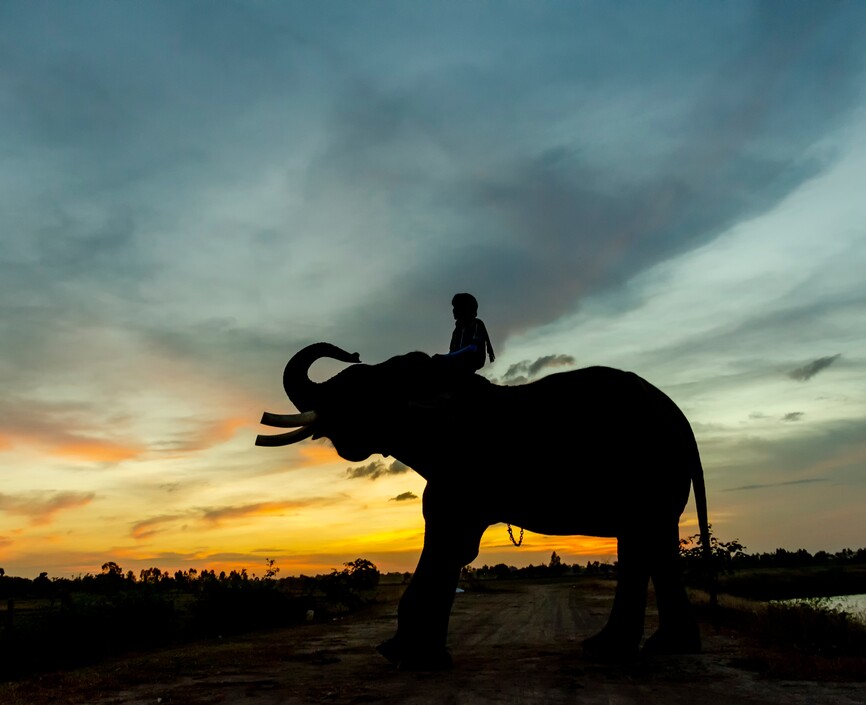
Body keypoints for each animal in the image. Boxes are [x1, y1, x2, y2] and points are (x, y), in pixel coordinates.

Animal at [256, 343, 712, 668]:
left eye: (365, 389)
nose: (350, 351)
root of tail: (679, 415)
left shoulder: (463, 471)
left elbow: (448, 539)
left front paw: (406, 657)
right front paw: (412, 654)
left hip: (649, 470)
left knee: (643, 541)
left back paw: (628, 649)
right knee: (651, 543)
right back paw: (638, 648)